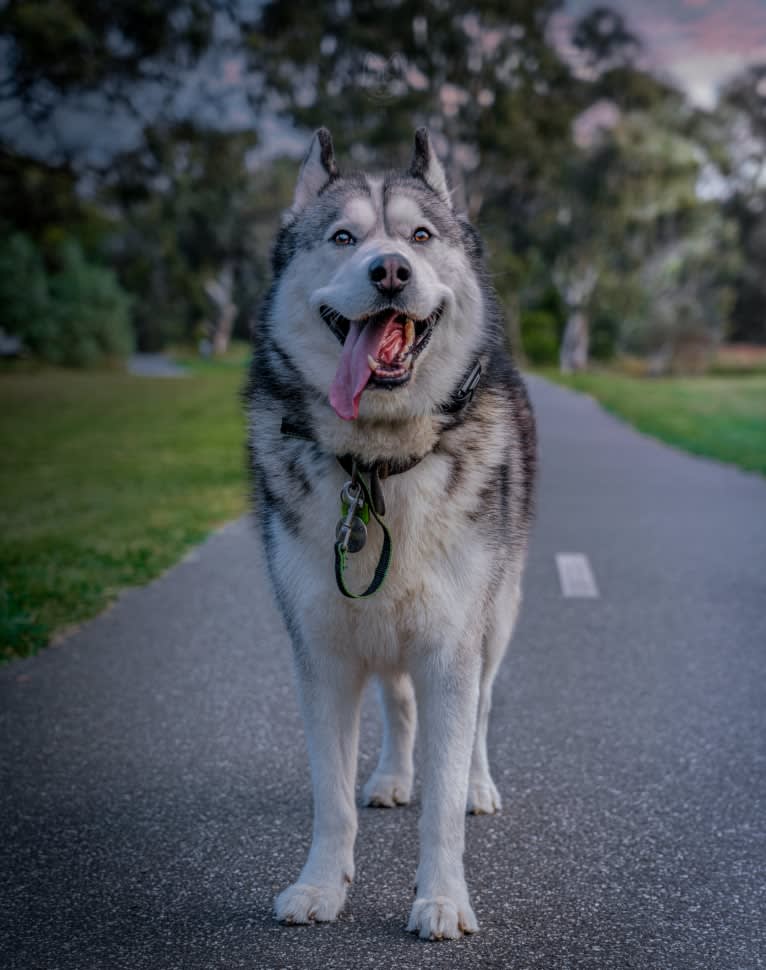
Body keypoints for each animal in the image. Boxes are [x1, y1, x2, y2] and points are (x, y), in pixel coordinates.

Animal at [249, 129, 536, 936]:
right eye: (344, 238)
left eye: (420, 237)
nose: (390, 270)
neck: (378, 463)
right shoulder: (321, 652)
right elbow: (331, 798)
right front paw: (320, 886)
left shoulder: (452, 646)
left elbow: (443, 799)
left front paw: (441, 899)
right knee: (399, 707)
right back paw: (390, 776)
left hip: (498, 620)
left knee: (482, 712)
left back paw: (476, 784)